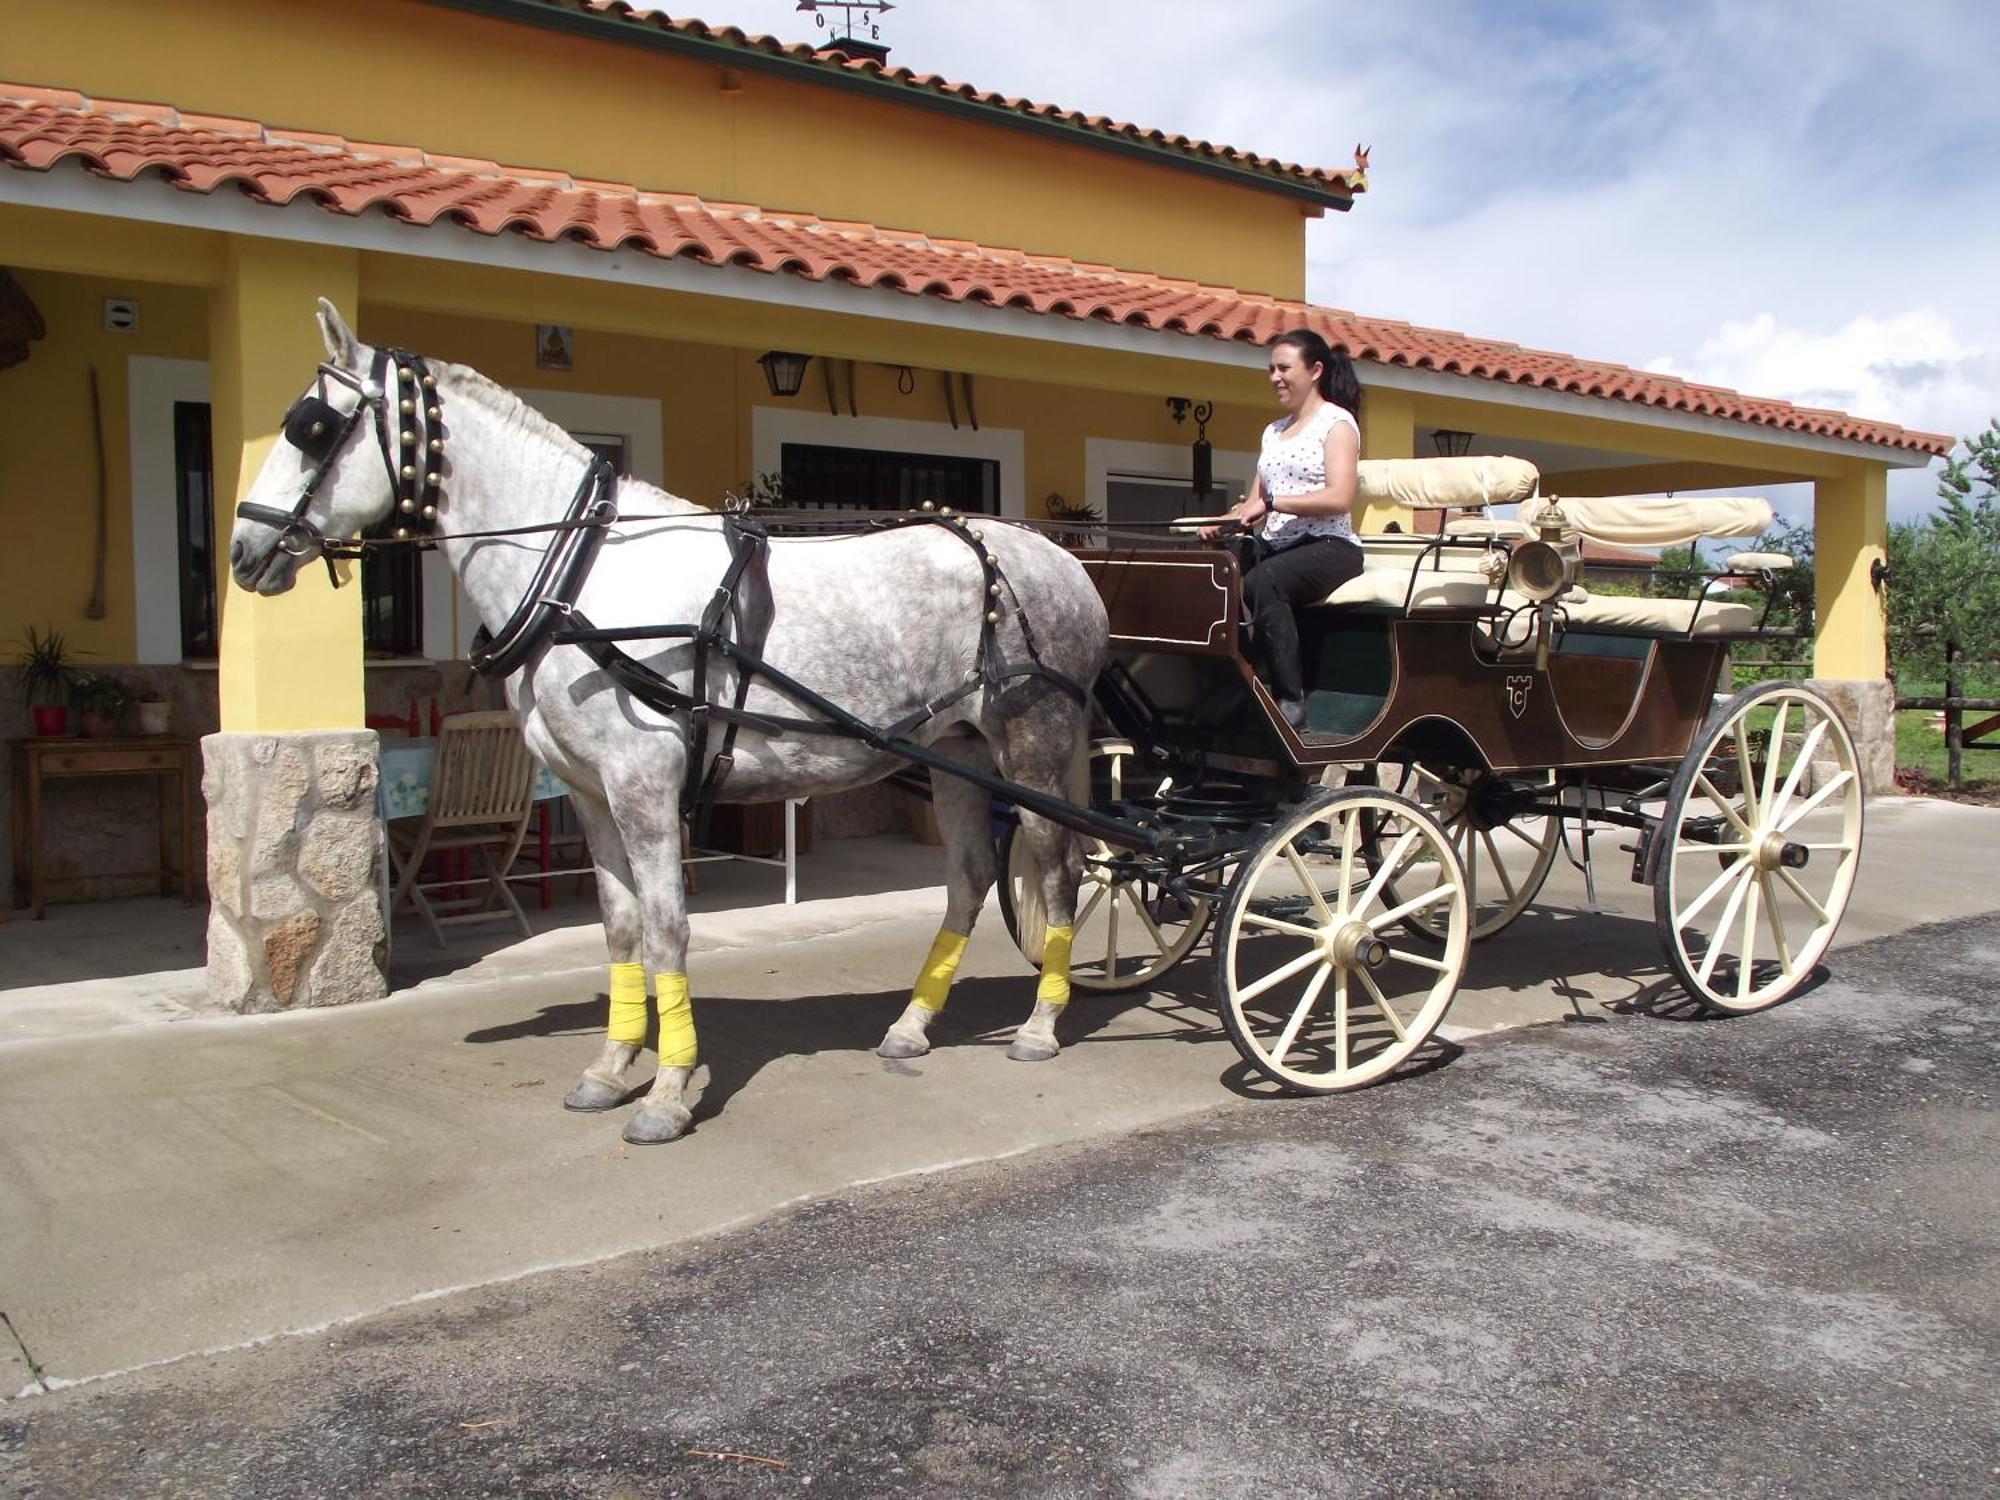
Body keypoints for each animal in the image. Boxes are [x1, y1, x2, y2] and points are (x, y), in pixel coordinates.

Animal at [234, 306, 1112, 1152]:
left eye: (312, 426)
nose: (244, 552)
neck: (580, 576)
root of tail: (1062, 562)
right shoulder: (591, 793)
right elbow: (621, 928)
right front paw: (611, 1065)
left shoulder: (643, 786)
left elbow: (667, 929)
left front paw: (667, 1091)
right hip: (958, 754)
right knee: (968, 876)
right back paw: (912, 1024)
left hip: (1031, 748)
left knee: (1063, 868)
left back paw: (1040, 1023)